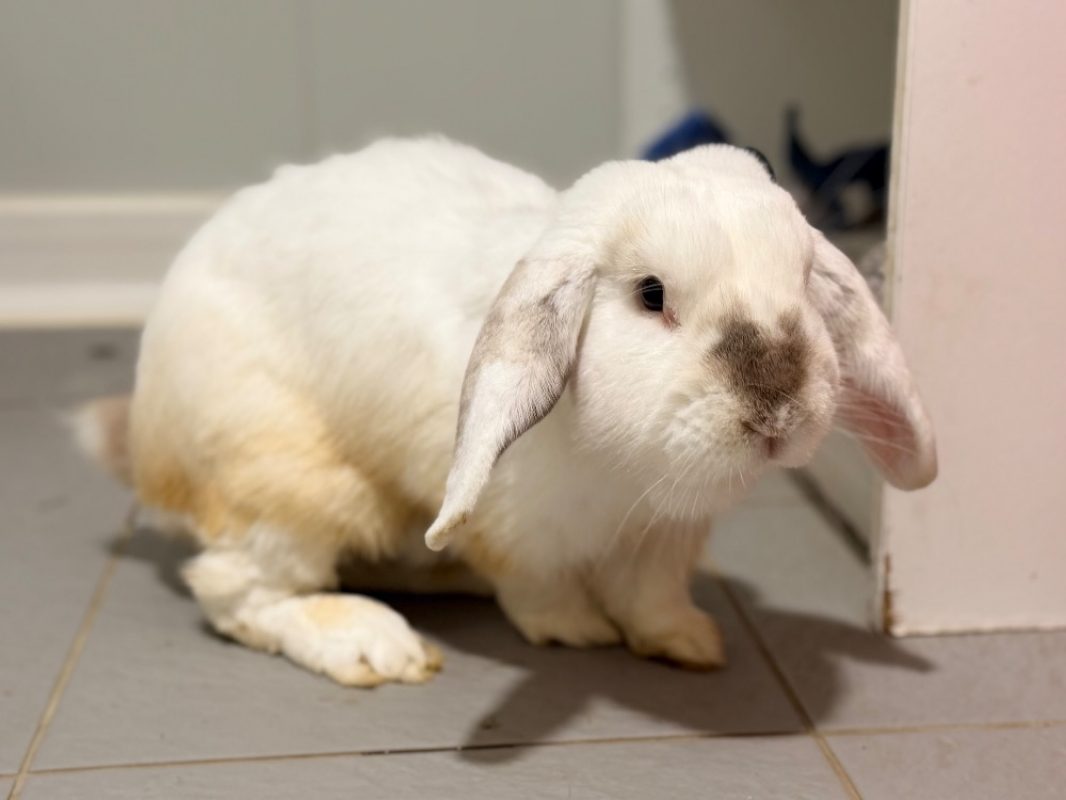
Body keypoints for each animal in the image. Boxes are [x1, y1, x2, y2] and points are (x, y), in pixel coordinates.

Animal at [75, 136, 937, 687]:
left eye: (802, 278)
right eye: (651, 293)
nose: (779, 410)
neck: (630, 473)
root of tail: (149, 454)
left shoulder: (665, 540)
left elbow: (651, 596)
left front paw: (687, 643)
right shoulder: (515, 530)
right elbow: (538, 590)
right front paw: (576, 630)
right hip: (290, 483)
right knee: (237, 592)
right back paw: (373, 646)